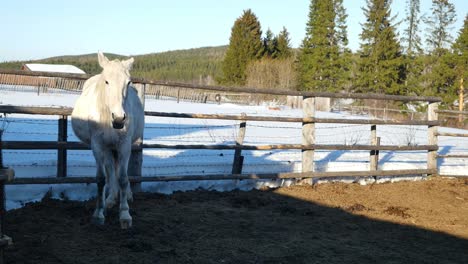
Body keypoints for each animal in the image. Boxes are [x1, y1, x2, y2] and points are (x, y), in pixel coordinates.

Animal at [71, 52, 144, 229]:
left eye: (128, 82)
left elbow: (123, 178)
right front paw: (98, 214)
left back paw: (125, 195)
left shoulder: (124, 145)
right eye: (106, 81)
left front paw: (125, 214)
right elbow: (101, 179)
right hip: (107, 149)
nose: (118, 119)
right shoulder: (97, 146)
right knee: (110, 170)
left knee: (118, 172)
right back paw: (110, 199)